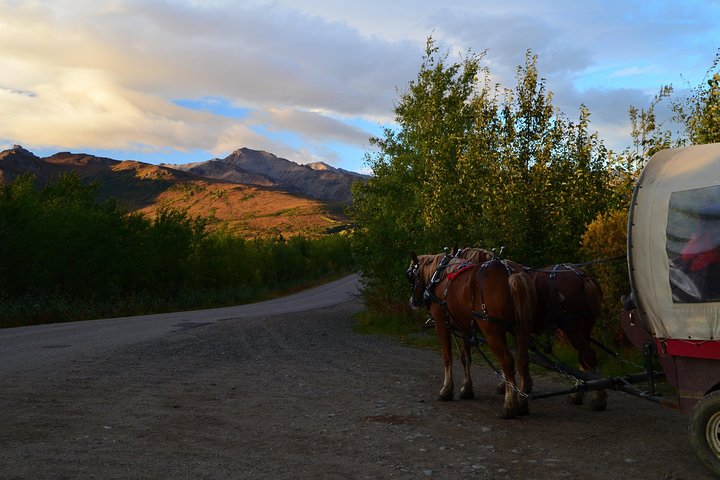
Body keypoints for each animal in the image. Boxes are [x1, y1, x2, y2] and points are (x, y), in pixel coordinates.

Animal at [406, 251, 536, 418]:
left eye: (412, 275)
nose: (413, 301)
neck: (441, 277)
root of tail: (510, 272)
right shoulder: (466, 328)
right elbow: (465, 358)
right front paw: (466, 388)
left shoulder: (441, 325)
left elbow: (447, 357)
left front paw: (446, 390)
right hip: (520, 330)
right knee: (523, 362)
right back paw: (522, 403)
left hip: (492, 332)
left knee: (507, 361)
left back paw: (509, 405)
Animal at [454, 247, 607, 410]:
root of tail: (582, 277)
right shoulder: (517, 330)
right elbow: (521, 355)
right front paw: (523, 385)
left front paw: (511, 386)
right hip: (584, 328)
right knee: (584, 358)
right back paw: (580, 393)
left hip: (572, 328)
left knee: (588, 355)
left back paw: (597, 398)